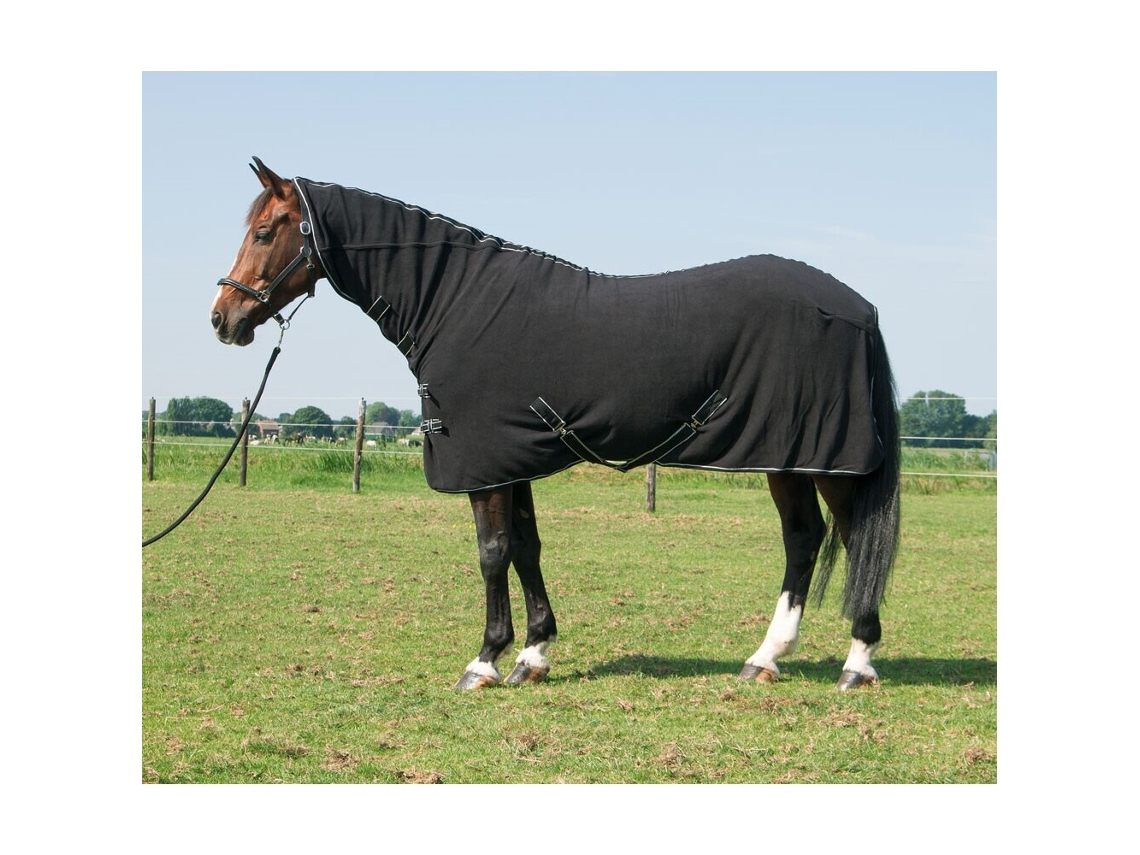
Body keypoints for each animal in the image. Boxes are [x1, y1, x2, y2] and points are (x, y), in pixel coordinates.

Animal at [210, 157, 901, 691]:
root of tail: (858, 307)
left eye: (266, 230)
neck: (457, 303)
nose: (223, 317)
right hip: (789, 458)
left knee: (846, 534)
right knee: (805, 539)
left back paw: (857, 664)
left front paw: (484, 662)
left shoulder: (485, 464)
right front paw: (533, 654)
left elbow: (491, 553)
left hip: (823, 458)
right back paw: (764, 660)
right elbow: (525, 547)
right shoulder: (510, 457)